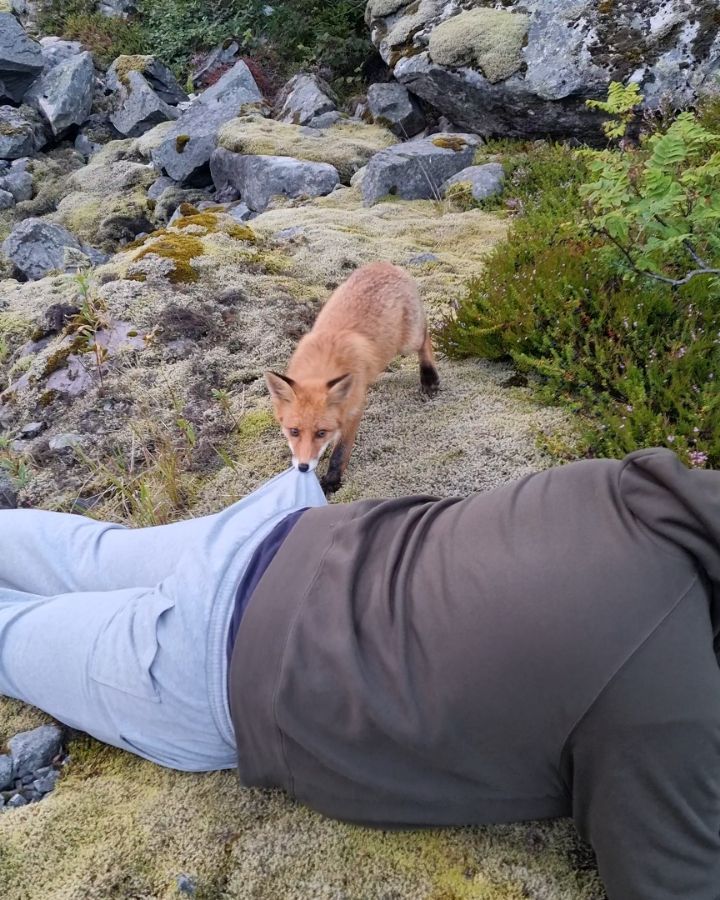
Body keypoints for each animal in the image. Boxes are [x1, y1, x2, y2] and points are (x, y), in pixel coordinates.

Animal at [266, 260, 438, 496]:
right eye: (294, 431)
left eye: (321, 433)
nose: (303, 467)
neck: (323, 362)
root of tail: (384, 264)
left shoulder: (353, 411)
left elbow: (340, 453)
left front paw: (332, 480)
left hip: (407, 343)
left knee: (426, 336)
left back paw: (429, 377)